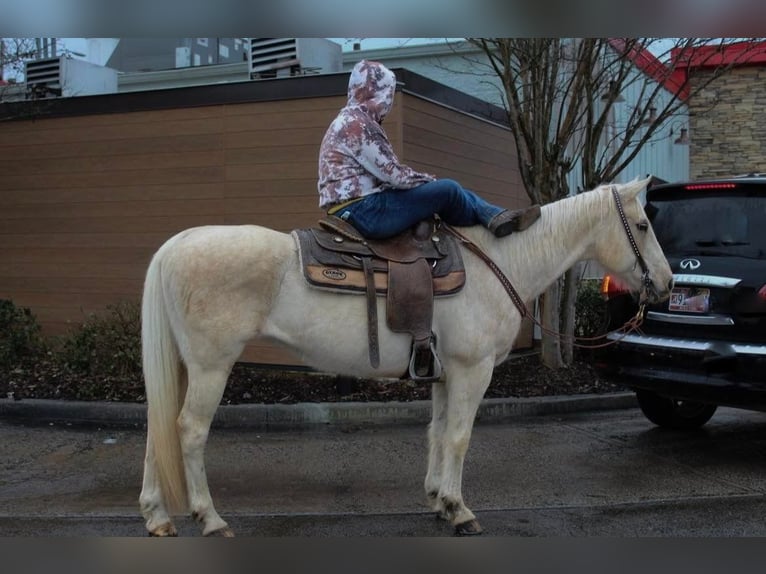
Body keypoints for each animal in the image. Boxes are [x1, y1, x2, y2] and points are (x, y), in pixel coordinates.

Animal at [141, 178, 676, 536]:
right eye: (643, 224)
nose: (669, 283)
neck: (501, 263)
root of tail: (178, 244)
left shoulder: (444, 373)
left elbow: (437, 433)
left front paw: (438, 499)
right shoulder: (472, 371)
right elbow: (459, 437)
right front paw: (460, 510)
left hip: (185, 367)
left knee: (159, 426)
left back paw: (157, 516)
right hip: (211, 367)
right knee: (189, 430)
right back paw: (210, 518)